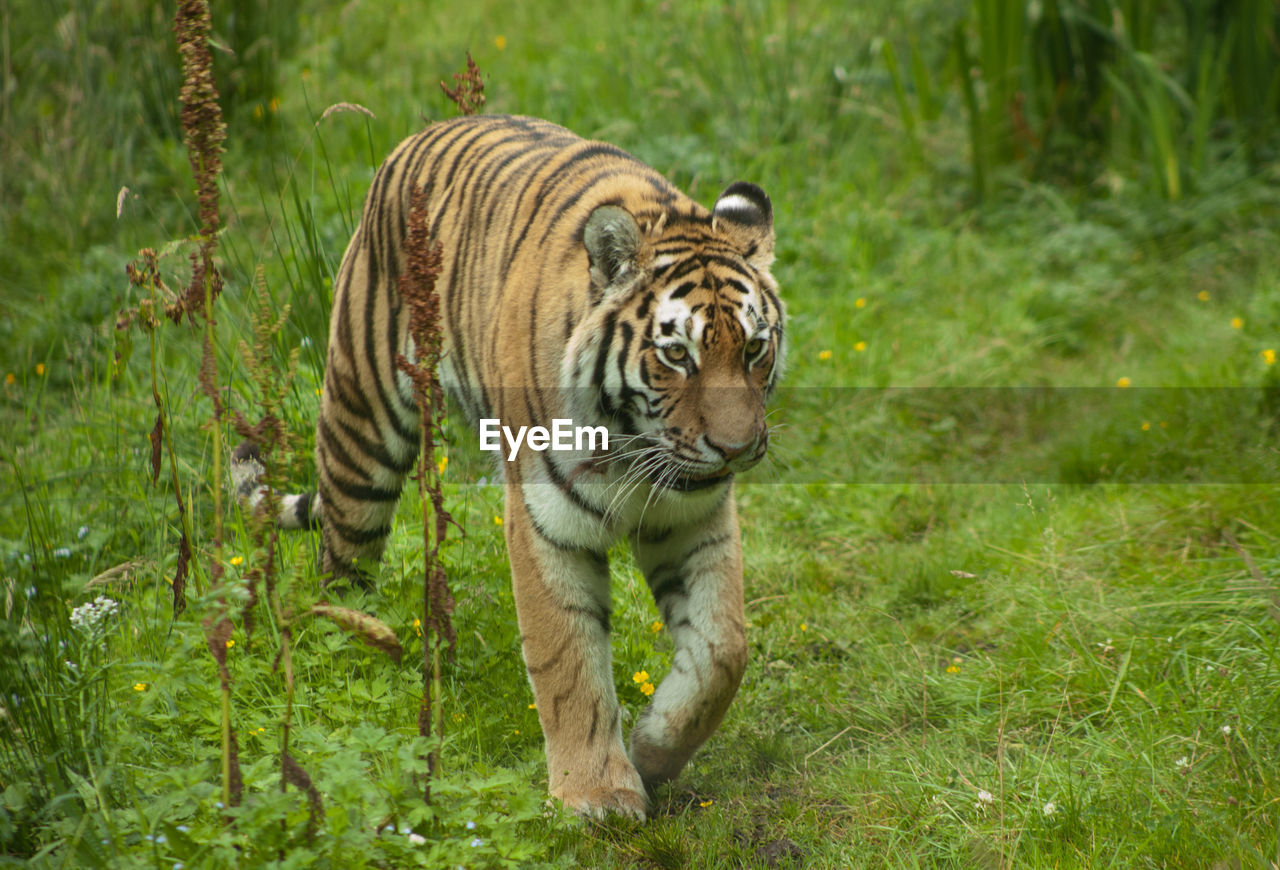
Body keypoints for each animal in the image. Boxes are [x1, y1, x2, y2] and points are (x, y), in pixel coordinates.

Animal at [235, 111, 783, 818]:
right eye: (677, 355)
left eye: (754, 349)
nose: (737, 448)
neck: (634, 443)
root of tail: (418, 137)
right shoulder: (546, 519)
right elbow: (567, 659)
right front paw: (595, 795)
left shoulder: (694, 518)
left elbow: (722, 651)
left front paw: (654, 750)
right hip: (362, 421)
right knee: (340, 560)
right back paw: (353, 646)